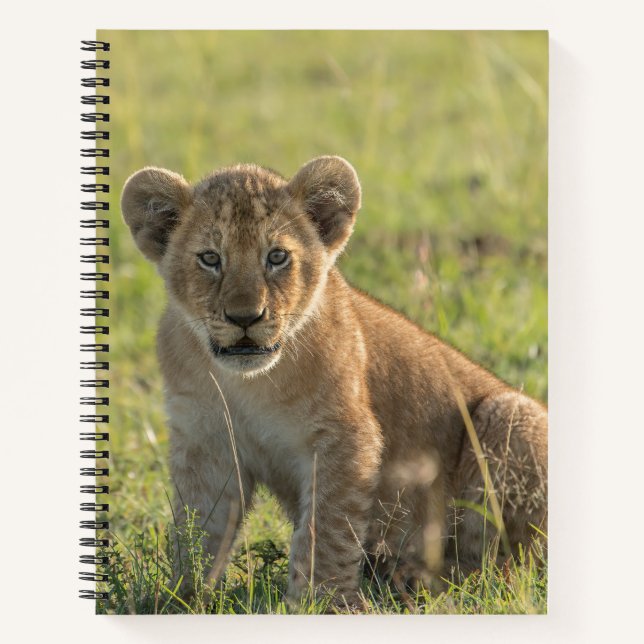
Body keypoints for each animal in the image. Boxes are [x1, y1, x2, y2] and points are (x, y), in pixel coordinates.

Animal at [121, 155, 547, 606]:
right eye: (209, 258)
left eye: (276, 257)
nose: (244, 318)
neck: (249, 384)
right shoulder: (205, 443)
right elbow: (197, 530)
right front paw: (179, 599)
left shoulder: (346, 437)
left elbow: (326, 527)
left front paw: (321, 602)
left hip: (510, 413)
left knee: (506, 572)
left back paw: (415, 579)